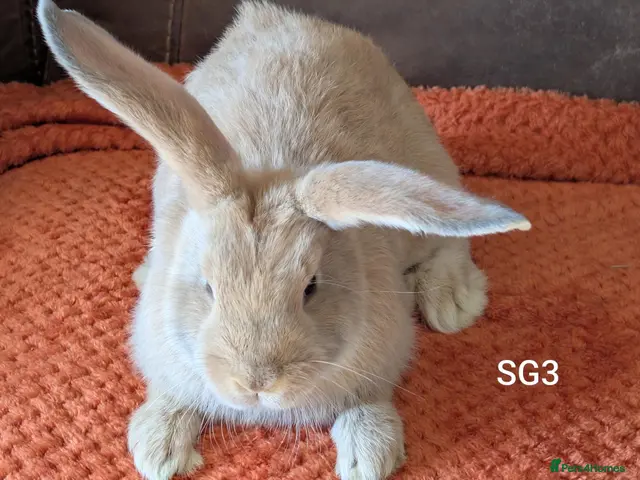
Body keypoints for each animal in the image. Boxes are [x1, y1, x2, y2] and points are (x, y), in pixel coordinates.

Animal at [37, 0, 531, 479]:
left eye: (310, 288)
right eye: (208, 288)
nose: (256, 383)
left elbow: (368, 402)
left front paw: (370, 457)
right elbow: (169, 393)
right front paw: (157, 450)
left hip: (423, 180)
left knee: (451, 232)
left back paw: (452, 303)